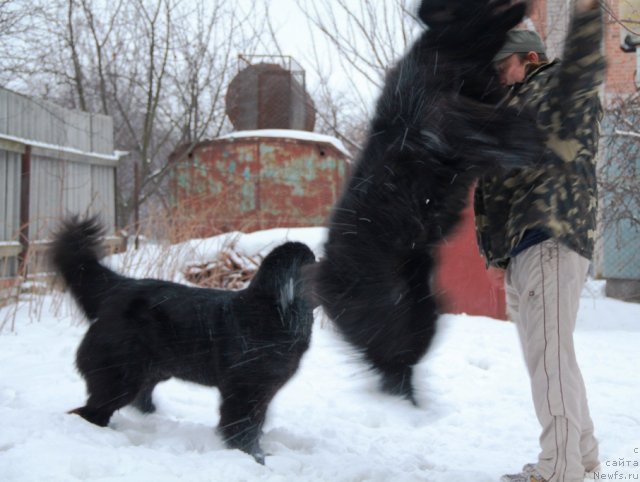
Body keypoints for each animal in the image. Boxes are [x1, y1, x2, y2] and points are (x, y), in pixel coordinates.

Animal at [51, 216, 316, 464]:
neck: (274, 312)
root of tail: (117, 288)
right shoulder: (244, 390)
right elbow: (243, 426)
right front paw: (255, 457)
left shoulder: (263, 391)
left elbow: (256, 422)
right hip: (118, 376)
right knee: (93, 409)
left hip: (151, 369)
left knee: (136, 398)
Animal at [312, 0, 544, 402]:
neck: (451, 52)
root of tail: (321, 272)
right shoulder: (448, 121)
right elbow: (502, 128)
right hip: (388, 307)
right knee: (391, 359)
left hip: (423, 308)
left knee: (396, 362)